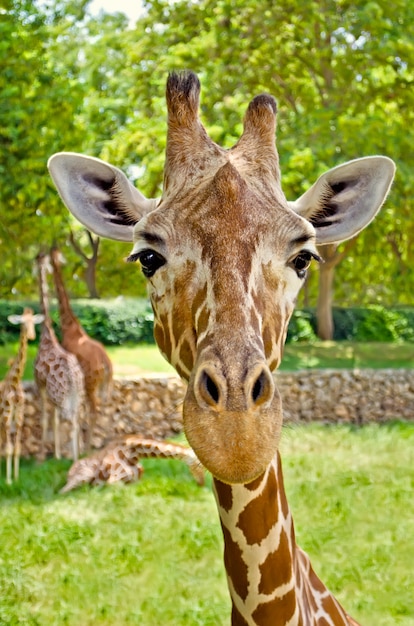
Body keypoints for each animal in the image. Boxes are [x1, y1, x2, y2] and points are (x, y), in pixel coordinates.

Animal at [49, 245, 113, 448]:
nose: (60, 260)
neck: (68, 325)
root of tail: (107, 363)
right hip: (99, 386)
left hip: (92, 383)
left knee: (95, 409)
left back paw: (87, 446)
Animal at [59, 432, 205, 490]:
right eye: (200, 466)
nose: (201, 484)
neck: (133, 454)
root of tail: (68, 472)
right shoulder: (113, 480)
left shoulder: (138, 477)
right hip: (84, 474)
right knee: (64, 490)